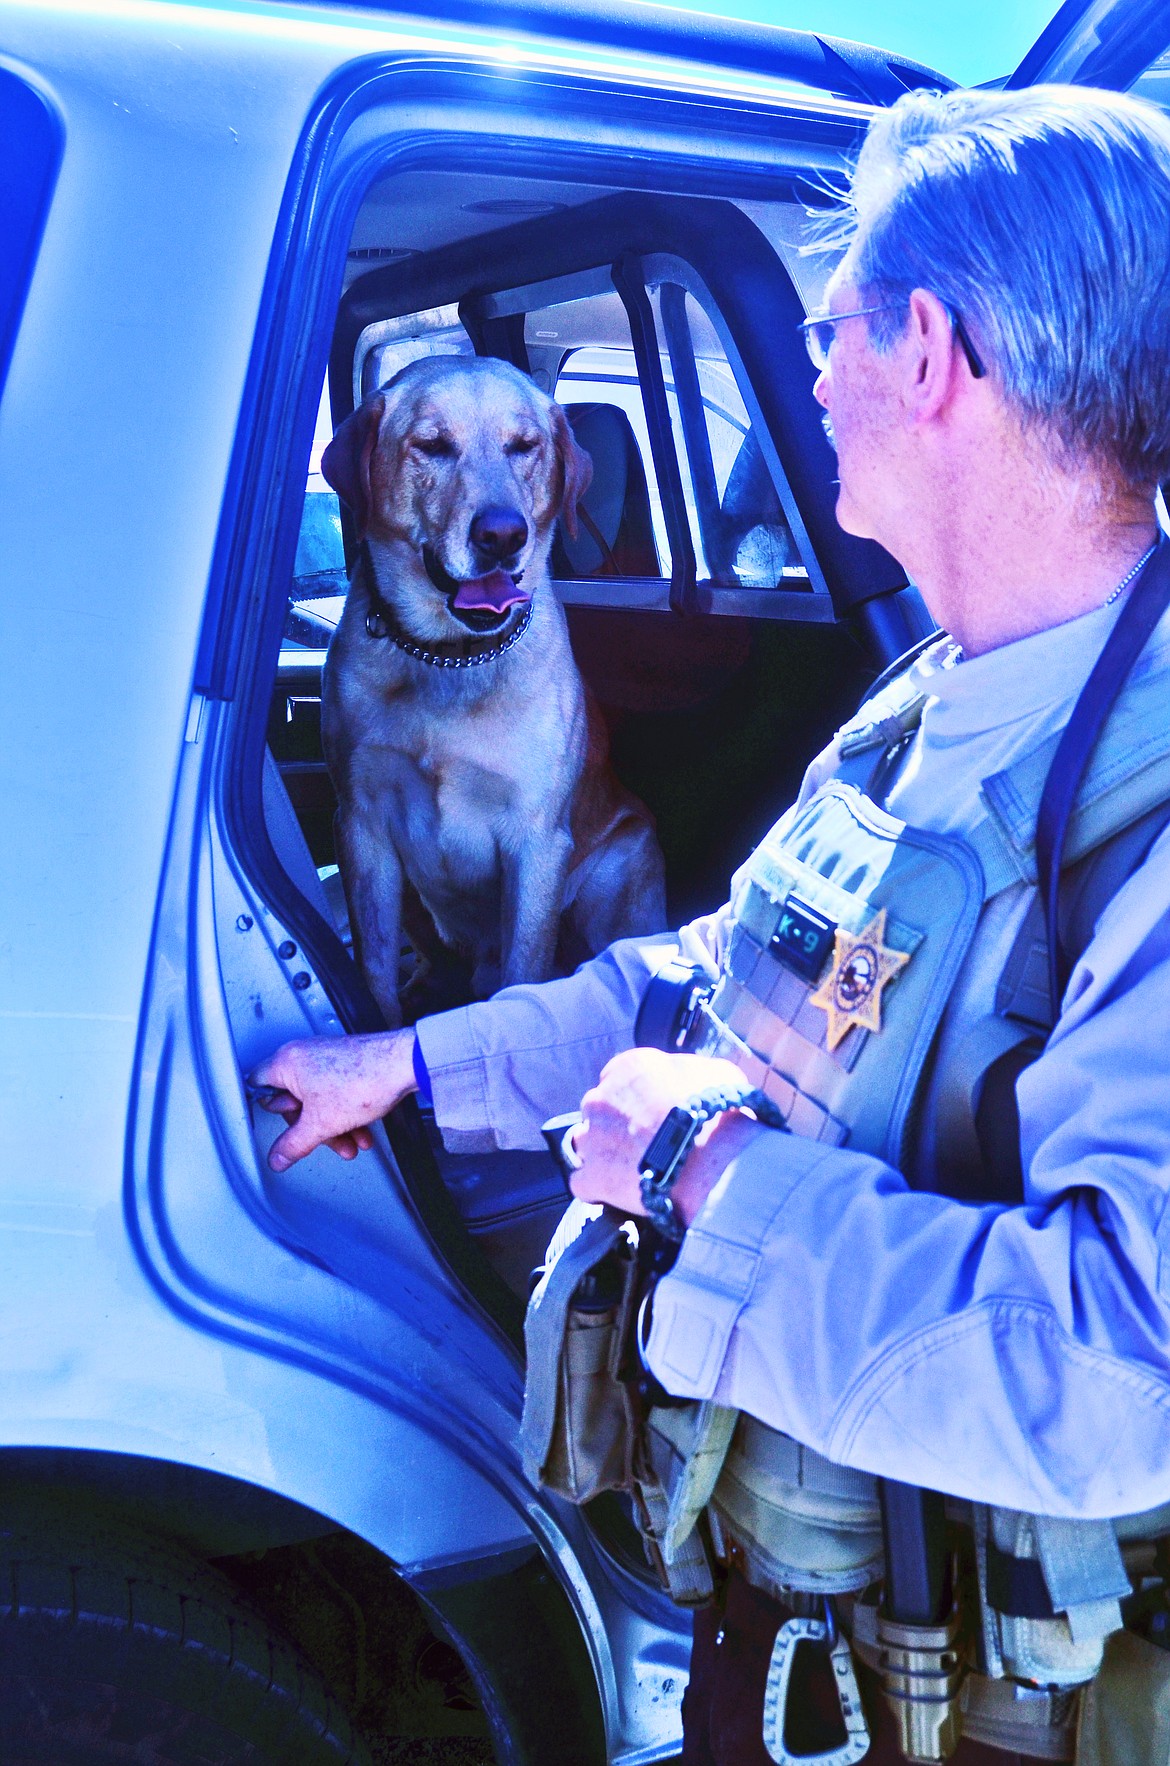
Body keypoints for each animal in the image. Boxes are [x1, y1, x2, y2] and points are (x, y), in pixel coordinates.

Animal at [321, 353, 667, 1031]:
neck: (449, 657)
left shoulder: (535, 842)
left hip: (616, 872)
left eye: (524, 447)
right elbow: (373, 963)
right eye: (432, 446)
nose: (503, 535)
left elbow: (523, 971)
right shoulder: (362, 822)